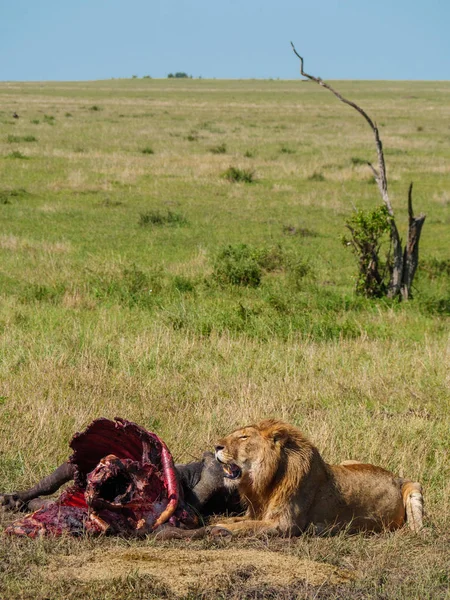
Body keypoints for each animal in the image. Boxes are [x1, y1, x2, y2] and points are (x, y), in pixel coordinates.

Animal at [213, 420, 424, 536]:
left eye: (244, 437)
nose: (216, 446)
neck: (262, 482)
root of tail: (397, 477)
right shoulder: (256, 512)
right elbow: (238, 519)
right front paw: (218, 521)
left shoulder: (284, 524)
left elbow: (247, 525)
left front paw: (220, 527)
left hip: (414, 489)